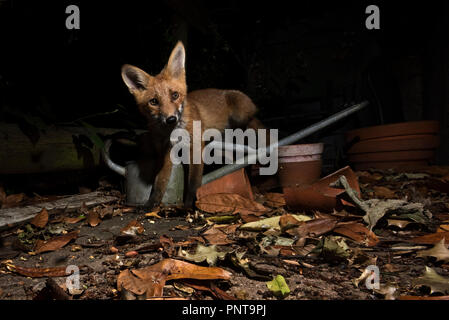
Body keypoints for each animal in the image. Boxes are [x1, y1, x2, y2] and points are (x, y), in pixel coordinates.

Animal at [121, 41, 264, 209]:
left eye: (175, 95)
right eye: (154, 102)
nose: (171, 119)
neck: (172, 132)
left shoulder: (195, 147)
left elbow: (193, 182)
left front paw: (188, 206)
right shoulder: (165, 152)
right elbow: (159, 182)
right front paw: (151, 203)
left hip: (240, 112)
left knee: (253, 122)